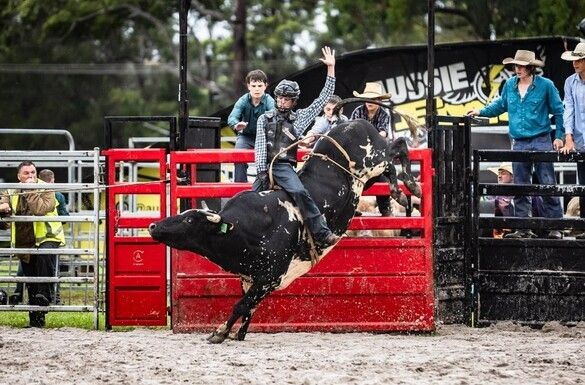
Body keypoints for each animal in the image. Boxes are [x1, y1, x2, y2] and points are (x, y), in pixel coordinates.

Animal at [146, 117, 420, 342]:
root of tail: (354, 122)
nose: (153, 225)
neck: (244, 228)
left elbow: (241, 305)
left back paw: (407, 188)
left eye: (190, 221)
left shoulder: (269, 276)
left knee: (397, 148)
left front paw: (220, 332)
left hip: (374, 160)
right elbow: (249, 306)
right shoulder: (252, 278)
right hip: (367, 179)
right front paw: (239, 333)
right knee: (394, 155)